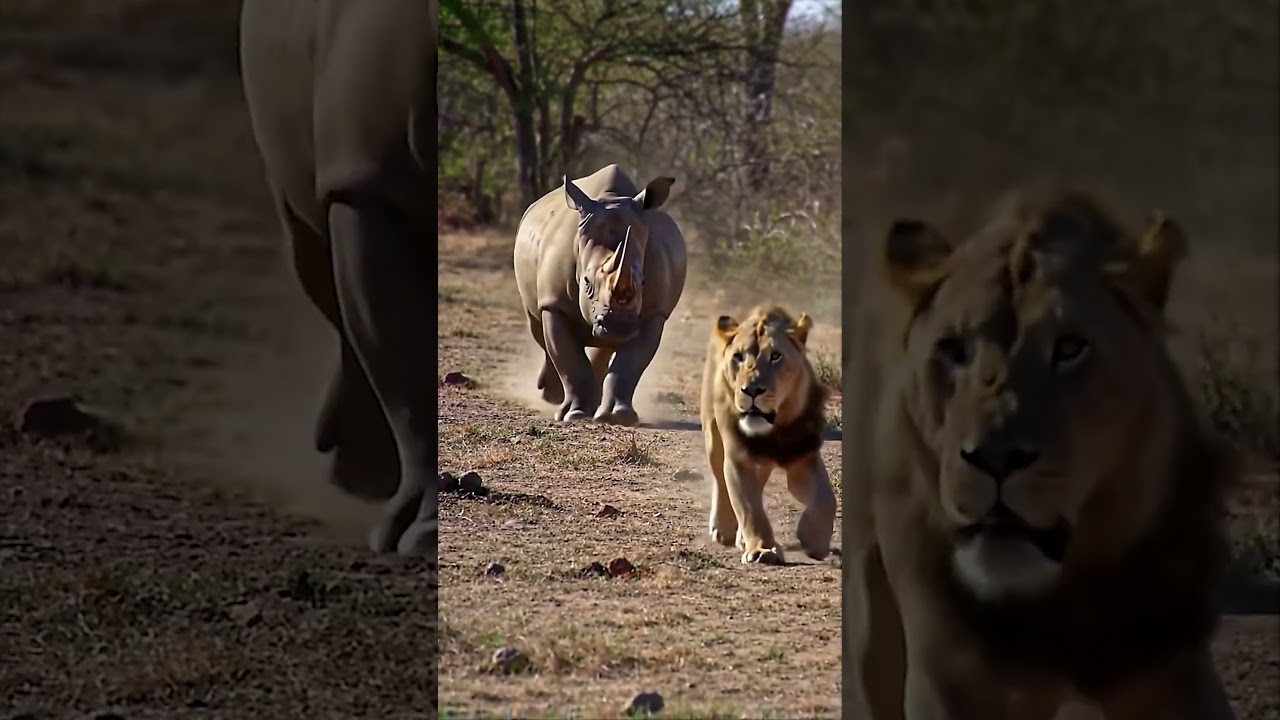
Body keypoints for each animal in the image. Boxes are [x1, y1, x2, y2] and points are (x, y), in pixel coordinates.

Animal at [514, 164, 688, 426]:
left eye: (643, 282)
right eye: (586, 283)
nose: (618, 326)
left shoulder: (654, 312)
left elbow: (630, 365)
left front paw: (619, 417)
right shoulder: (554, 303)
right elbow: (569, 359)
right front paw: (574, 415)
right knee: (538, 329)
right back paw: (552, 396)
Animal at [700, 305, 837, 566]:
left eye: (775, 356)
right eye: (739, 357)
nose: (752, 390)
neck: (775, 429)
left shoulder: (804, 458)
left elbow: (826, 499)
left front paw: (814, 539)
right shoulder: (741, 459)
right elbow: (750, 509)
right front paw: (762, 549)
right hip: (713, 435)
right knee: (719, 479)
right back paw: (723, 529)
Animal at [842, 189, 1239, 719]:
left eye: (1070, 348)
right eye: (953, 350)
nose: (995, 459)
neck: (1059, 603)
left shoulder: (1177, 671)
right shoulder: (950, 682)